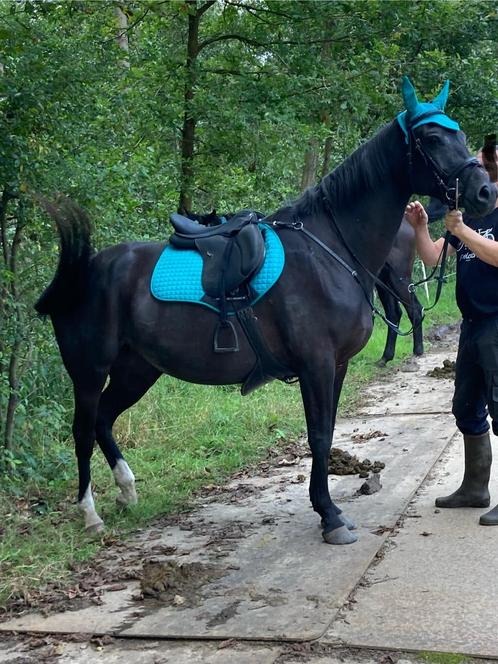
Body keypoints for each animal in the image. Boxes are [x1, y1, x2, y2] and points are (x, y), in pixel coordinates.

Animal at [34, 79, 494, 544]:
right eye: (432, 138)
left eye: (459, 133)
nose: (484, 191)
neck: (329, 252)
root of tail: (87, 270)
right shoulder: (316, 365)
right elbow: (319, 436)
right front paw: (330, 516)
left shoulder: (337, 365)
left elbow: (328, 430)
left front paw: (328, 510)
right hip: (89, 371)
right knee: (82, 429)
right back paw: (90, 513)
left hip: (138, 368)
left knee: (104, 419)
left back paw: (127, 491)